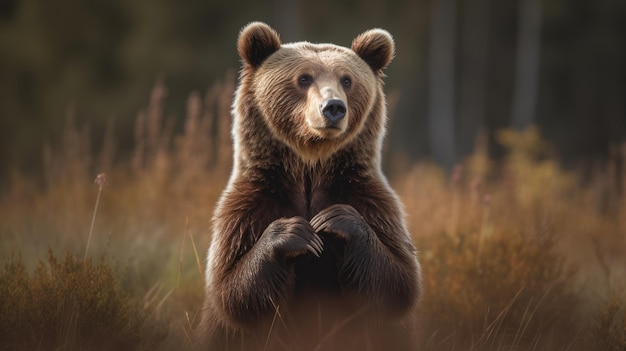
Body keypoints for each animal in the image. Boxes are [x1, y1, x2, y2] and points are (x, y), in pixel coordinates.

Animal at [195, 22, 420, 351]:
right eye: (303, 78)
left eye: (347, 80)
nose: (333, 107)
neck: (310, 167)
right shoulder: (248, 206)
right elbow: (231, 292)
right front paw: (296, 232)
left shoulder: (372, 200)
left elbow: (398, 283)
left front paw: (334, 220)